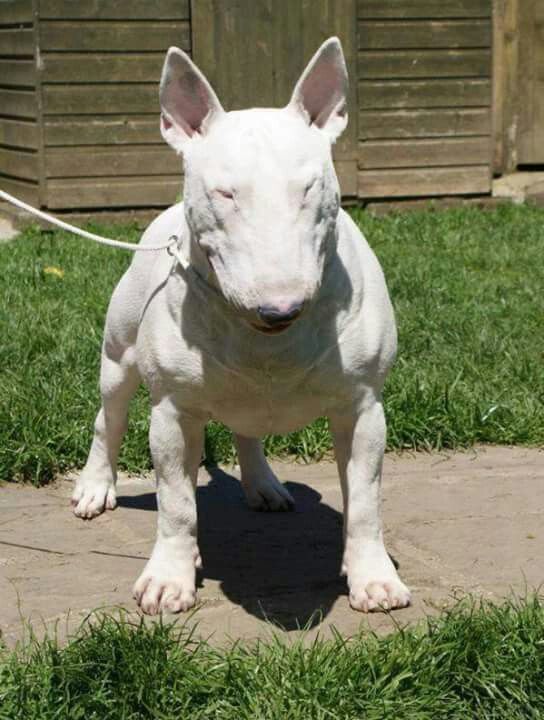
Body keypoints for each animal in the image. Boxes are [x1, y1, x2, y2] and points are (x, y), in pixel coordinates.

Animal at [72, 38, 412, 612]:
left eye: (308, 187)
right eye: (225, 193)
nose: (280, 309)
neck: (265, 341)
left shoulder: (364, 407)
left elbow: (365, 498)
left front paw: (373, 577)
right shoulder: (172, 412)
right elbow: (176, 502)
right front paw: (168, 578)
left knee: (246, 428)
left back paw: (264, 485)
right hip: (118, 358)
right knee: (108, 419)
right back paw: (97, 486)